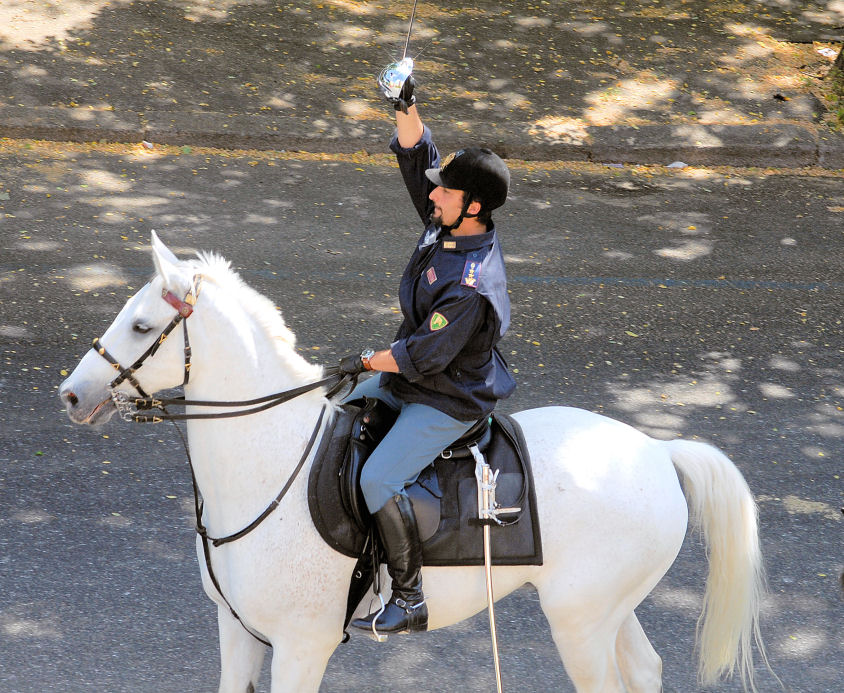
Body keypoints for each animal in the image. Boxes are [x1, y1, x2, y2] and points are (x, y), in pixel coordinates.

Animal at [61, 234, 772, 692]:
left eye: (140, 325)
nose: (70, 394)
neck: (269, 466)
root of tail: (656, 450)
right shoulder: (237, 634)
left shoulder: (300, 646)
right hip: (606, 611)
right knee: (645, 670)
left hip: (581, 621)